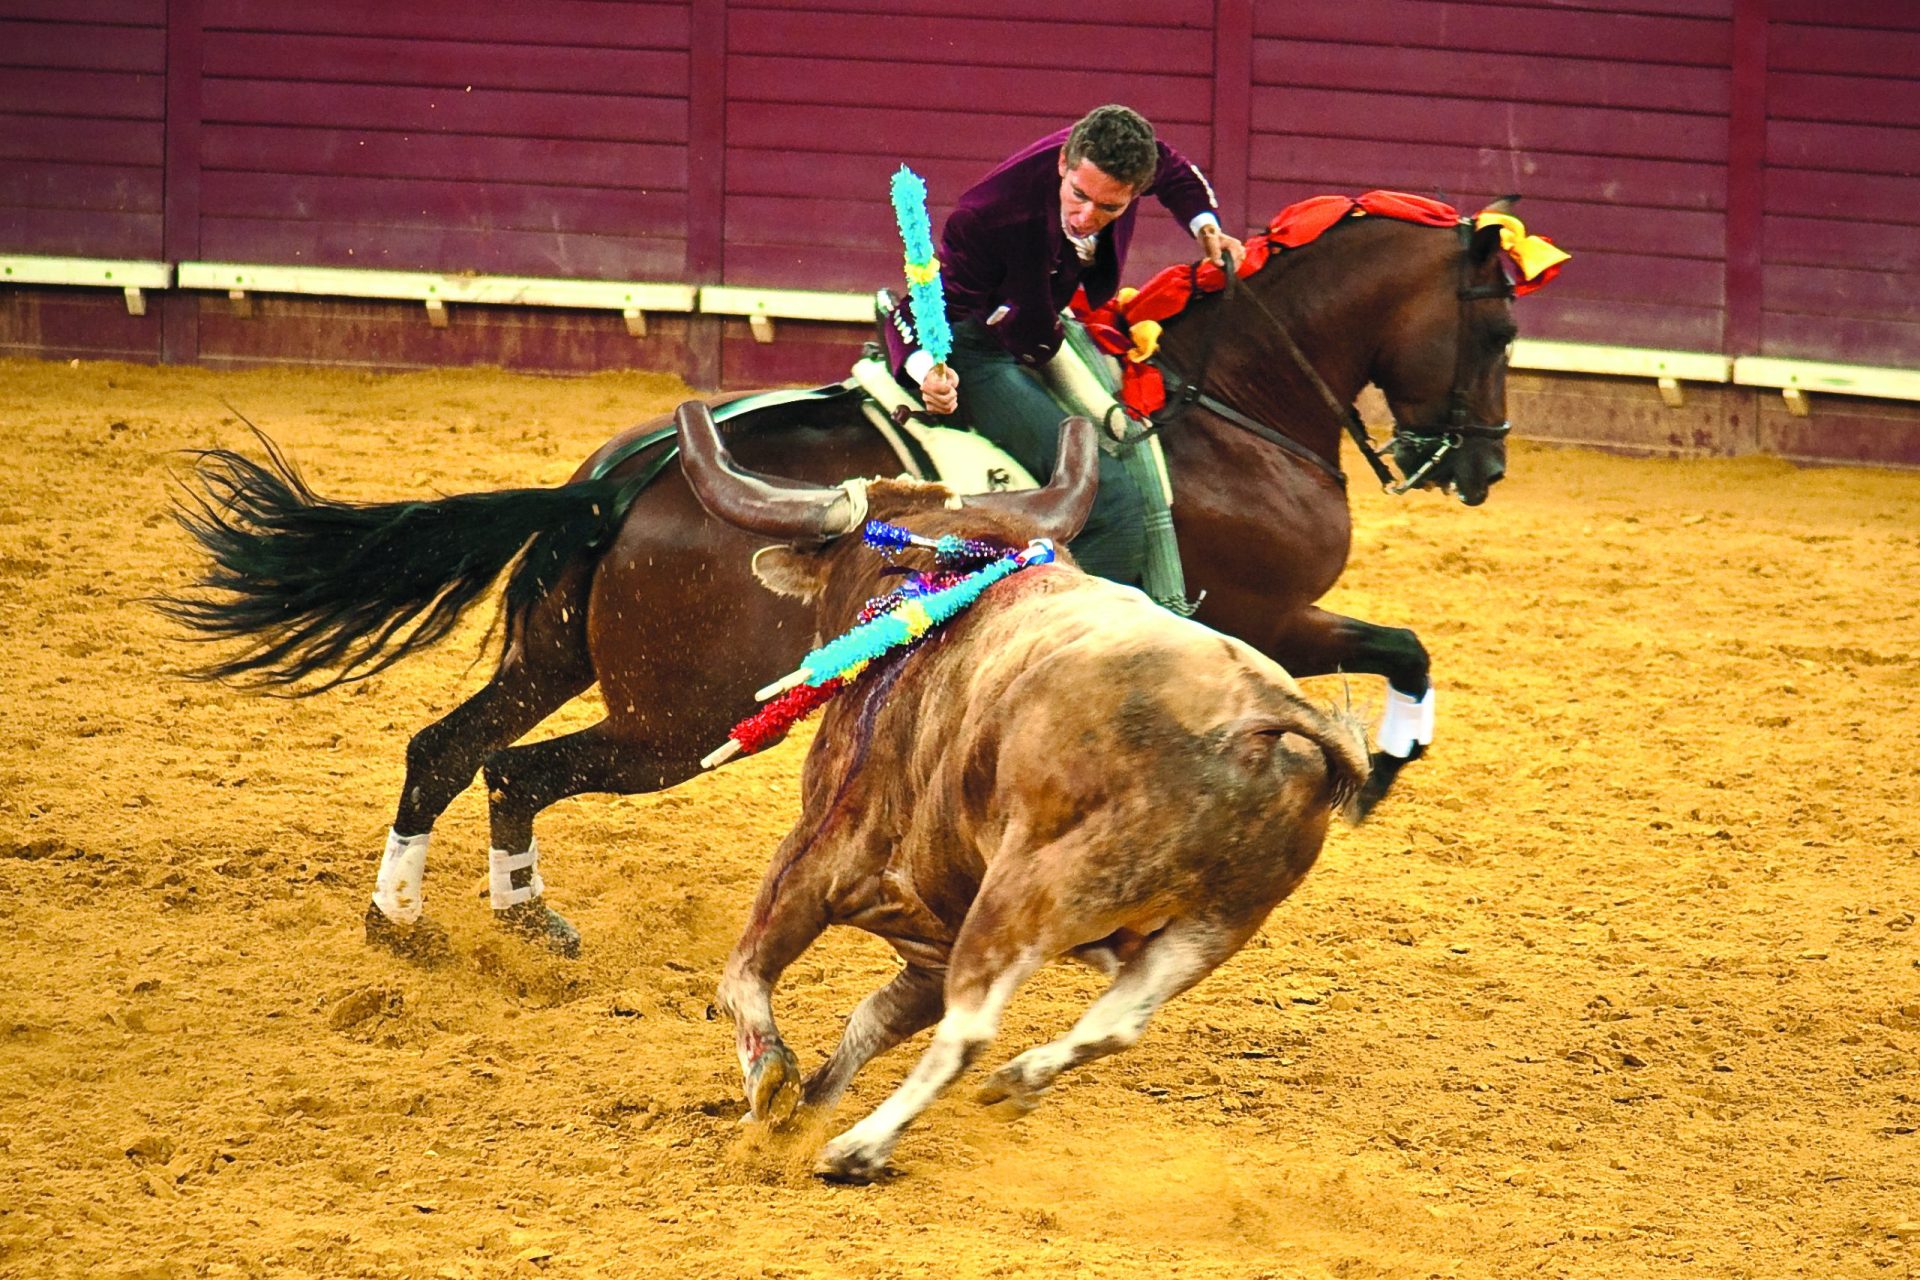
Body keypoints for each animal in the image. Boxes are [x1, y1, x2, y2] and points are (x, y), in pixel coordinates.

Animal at [161, 202, 1512, 959]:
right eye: (1497, 328)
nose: (1484, 463)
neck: (1230, 403)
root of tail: (625, 479)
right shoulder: (1271, 617)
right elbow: (1401, 644)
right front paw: (1387, 763)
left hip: (560, 660)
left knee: (444, 749)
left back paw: (407, 922)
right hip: (682, 722)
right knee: (515, 769)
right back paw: (515, 916)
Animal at [675, 404, 1367, 1189]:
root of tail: (1259, 712)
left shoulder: (818, 855)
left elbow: (746, 975)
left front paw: (774, 1089)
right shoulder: (932, 938)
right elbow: (871, 1020)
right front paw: (804, 1106)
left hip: (1024, 893)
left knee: (972, 1026)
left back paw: (860, 1148)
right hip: (1215, 924)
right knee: (1117, 1021)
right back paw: (1012, 1083)